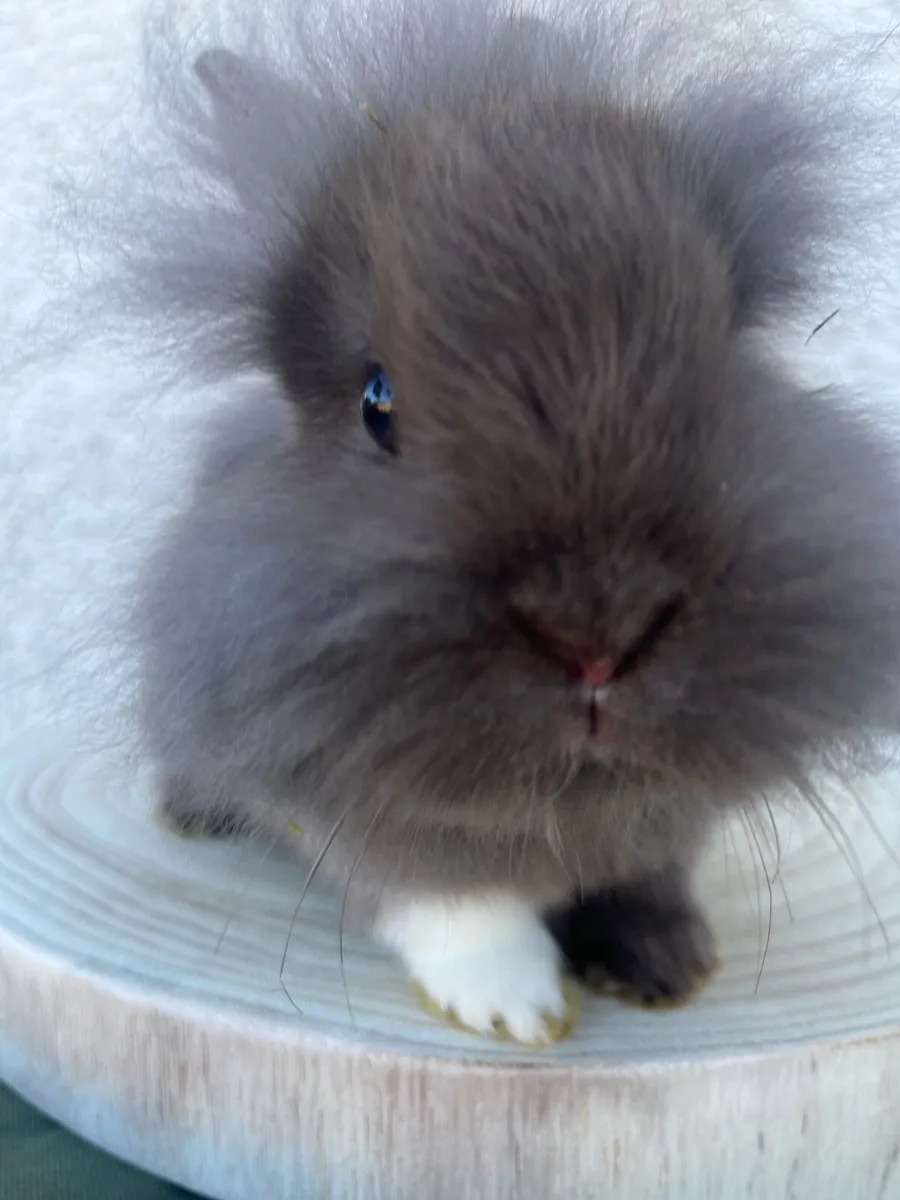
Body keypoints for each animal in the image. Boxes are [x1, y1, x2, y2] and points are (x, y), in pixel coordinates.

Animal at [79, 0, 900, 1045]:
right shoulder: (358, 819)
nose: (597, 633)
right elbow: (450, 904)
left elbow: (647, 876)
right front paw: (519, 1008)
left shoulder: (663, 823)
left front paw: (667, 964)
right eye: (376, 404)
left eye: (726, 365)